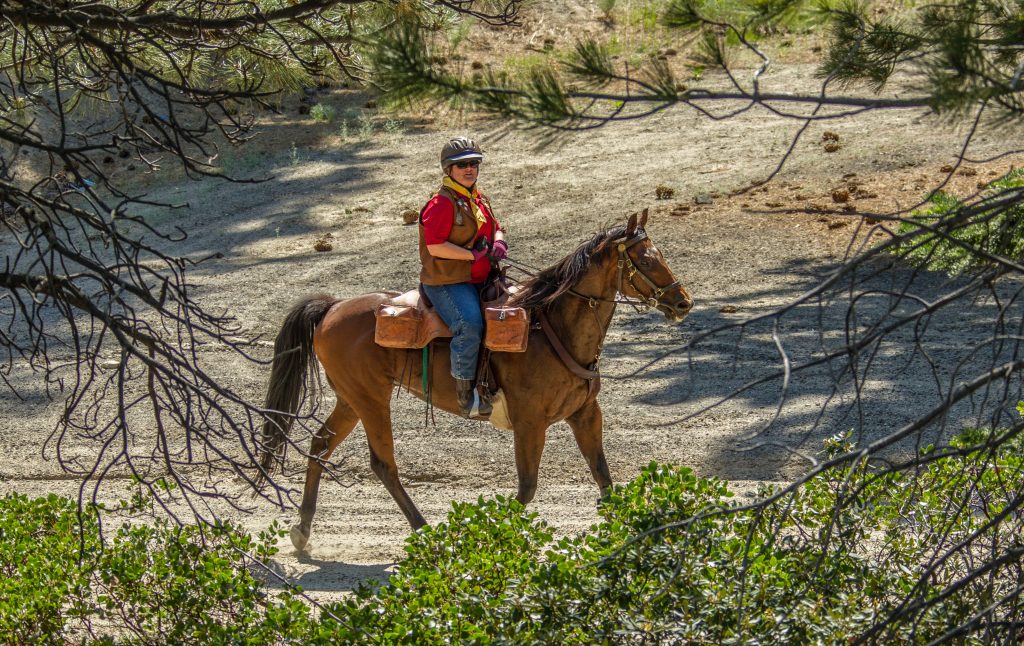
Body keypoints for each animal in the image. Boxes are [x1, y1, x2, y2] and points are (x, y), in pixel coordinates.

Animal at [258, 211, 696, 552]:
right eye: (645, 259)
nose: (683, 302)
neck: (552, 329)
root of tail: (333, 307)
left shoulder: (586, 413)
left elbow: (603, 476)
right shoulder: (529, 423)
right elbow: (526, 488)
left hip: (351, 399)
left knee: (320, 445)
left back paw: (302, 531)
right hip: (371, 399)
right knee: (383, 464)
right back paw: (425, 531)